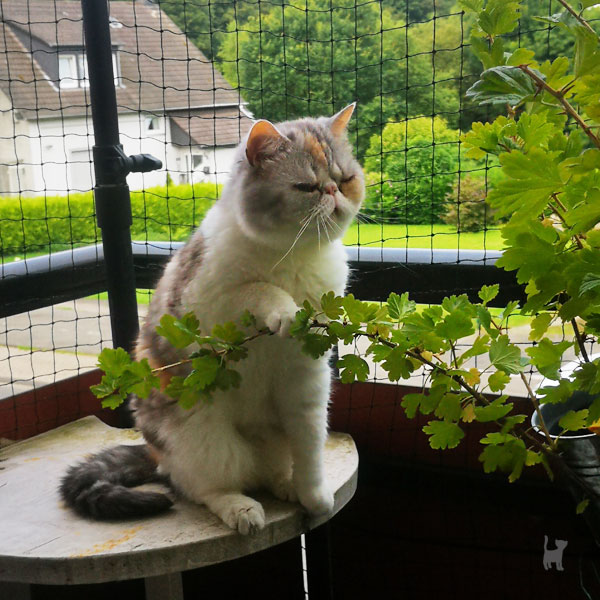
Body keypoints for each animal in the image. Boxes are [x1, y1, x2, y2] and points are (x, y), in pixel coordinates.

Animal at [58, 103, 364, 536]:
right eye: (307, 187)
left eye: (345, 179)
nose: (335, 193)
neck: (295, 256)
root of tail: (154, 453)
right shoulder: (208, 302)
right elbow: (256, 289)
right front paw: (285, 310)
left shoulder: (307, 385)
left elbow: (309, 450)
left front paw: (313, 496)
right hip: (203, 439)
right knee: (204, 488)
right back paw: (241, 508)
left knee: (269, 471)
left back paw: (285, 485)